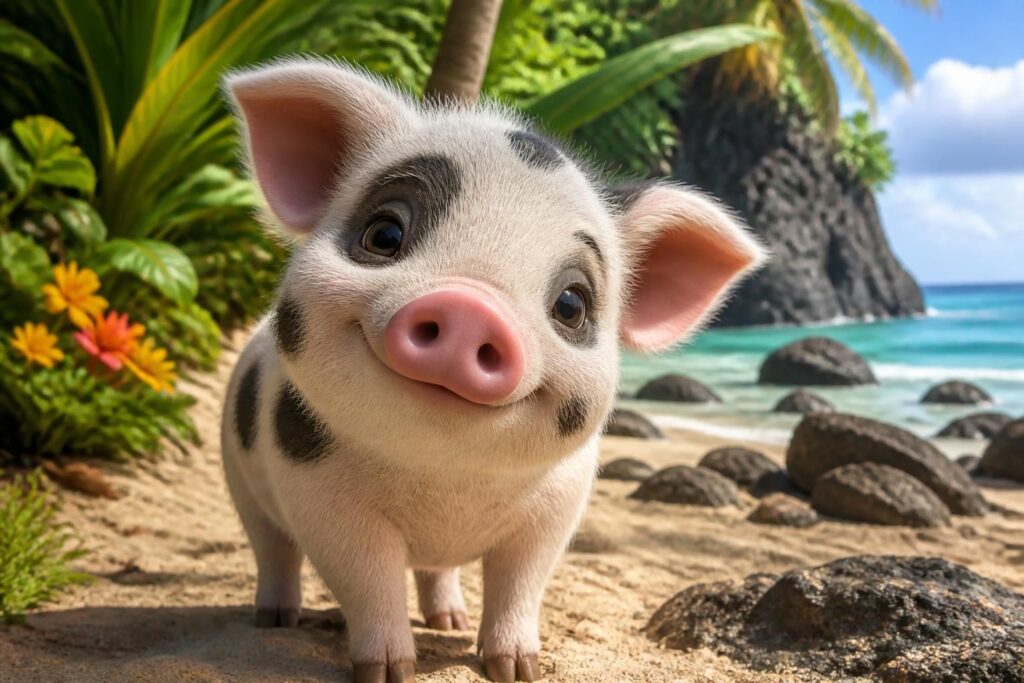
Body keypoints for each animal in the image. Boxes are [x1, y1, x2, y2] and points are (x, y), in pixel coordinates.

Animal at [220, 58, 765, 683]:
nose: (469, 306)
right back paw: (274, 621)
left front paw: (518, 669)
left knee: (436, 570)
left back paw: (448, 622)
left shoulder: (558, 508)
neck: (446, 481)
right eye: (384, 234)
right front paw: (389, 672)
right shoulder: (318, 494)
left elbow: (520, 581)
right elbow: (367, 581)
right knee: (272, 548)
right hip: (238, 473)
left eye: (571, 304)